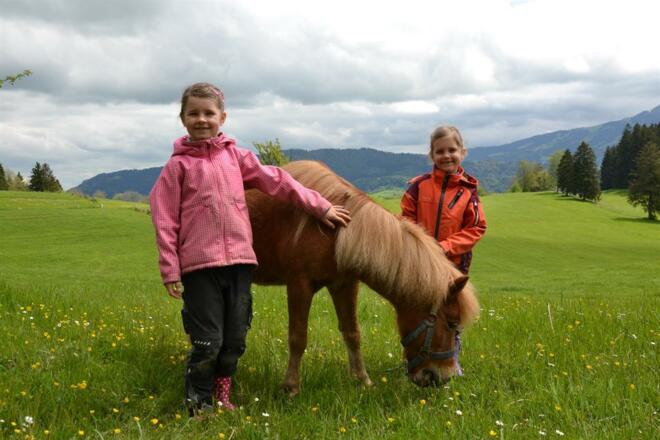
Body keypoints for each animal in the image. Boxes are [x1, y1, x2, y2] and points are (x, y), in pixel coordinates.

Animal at [247, 161, 480, 395]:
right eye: (451, 324)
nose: (442, 377)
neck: (336, 232)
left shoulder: (345, 284)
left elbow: (353, 334)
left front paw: (362, 380)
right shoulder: (299, 284)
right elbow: (298, 337)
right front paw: (291, 386)